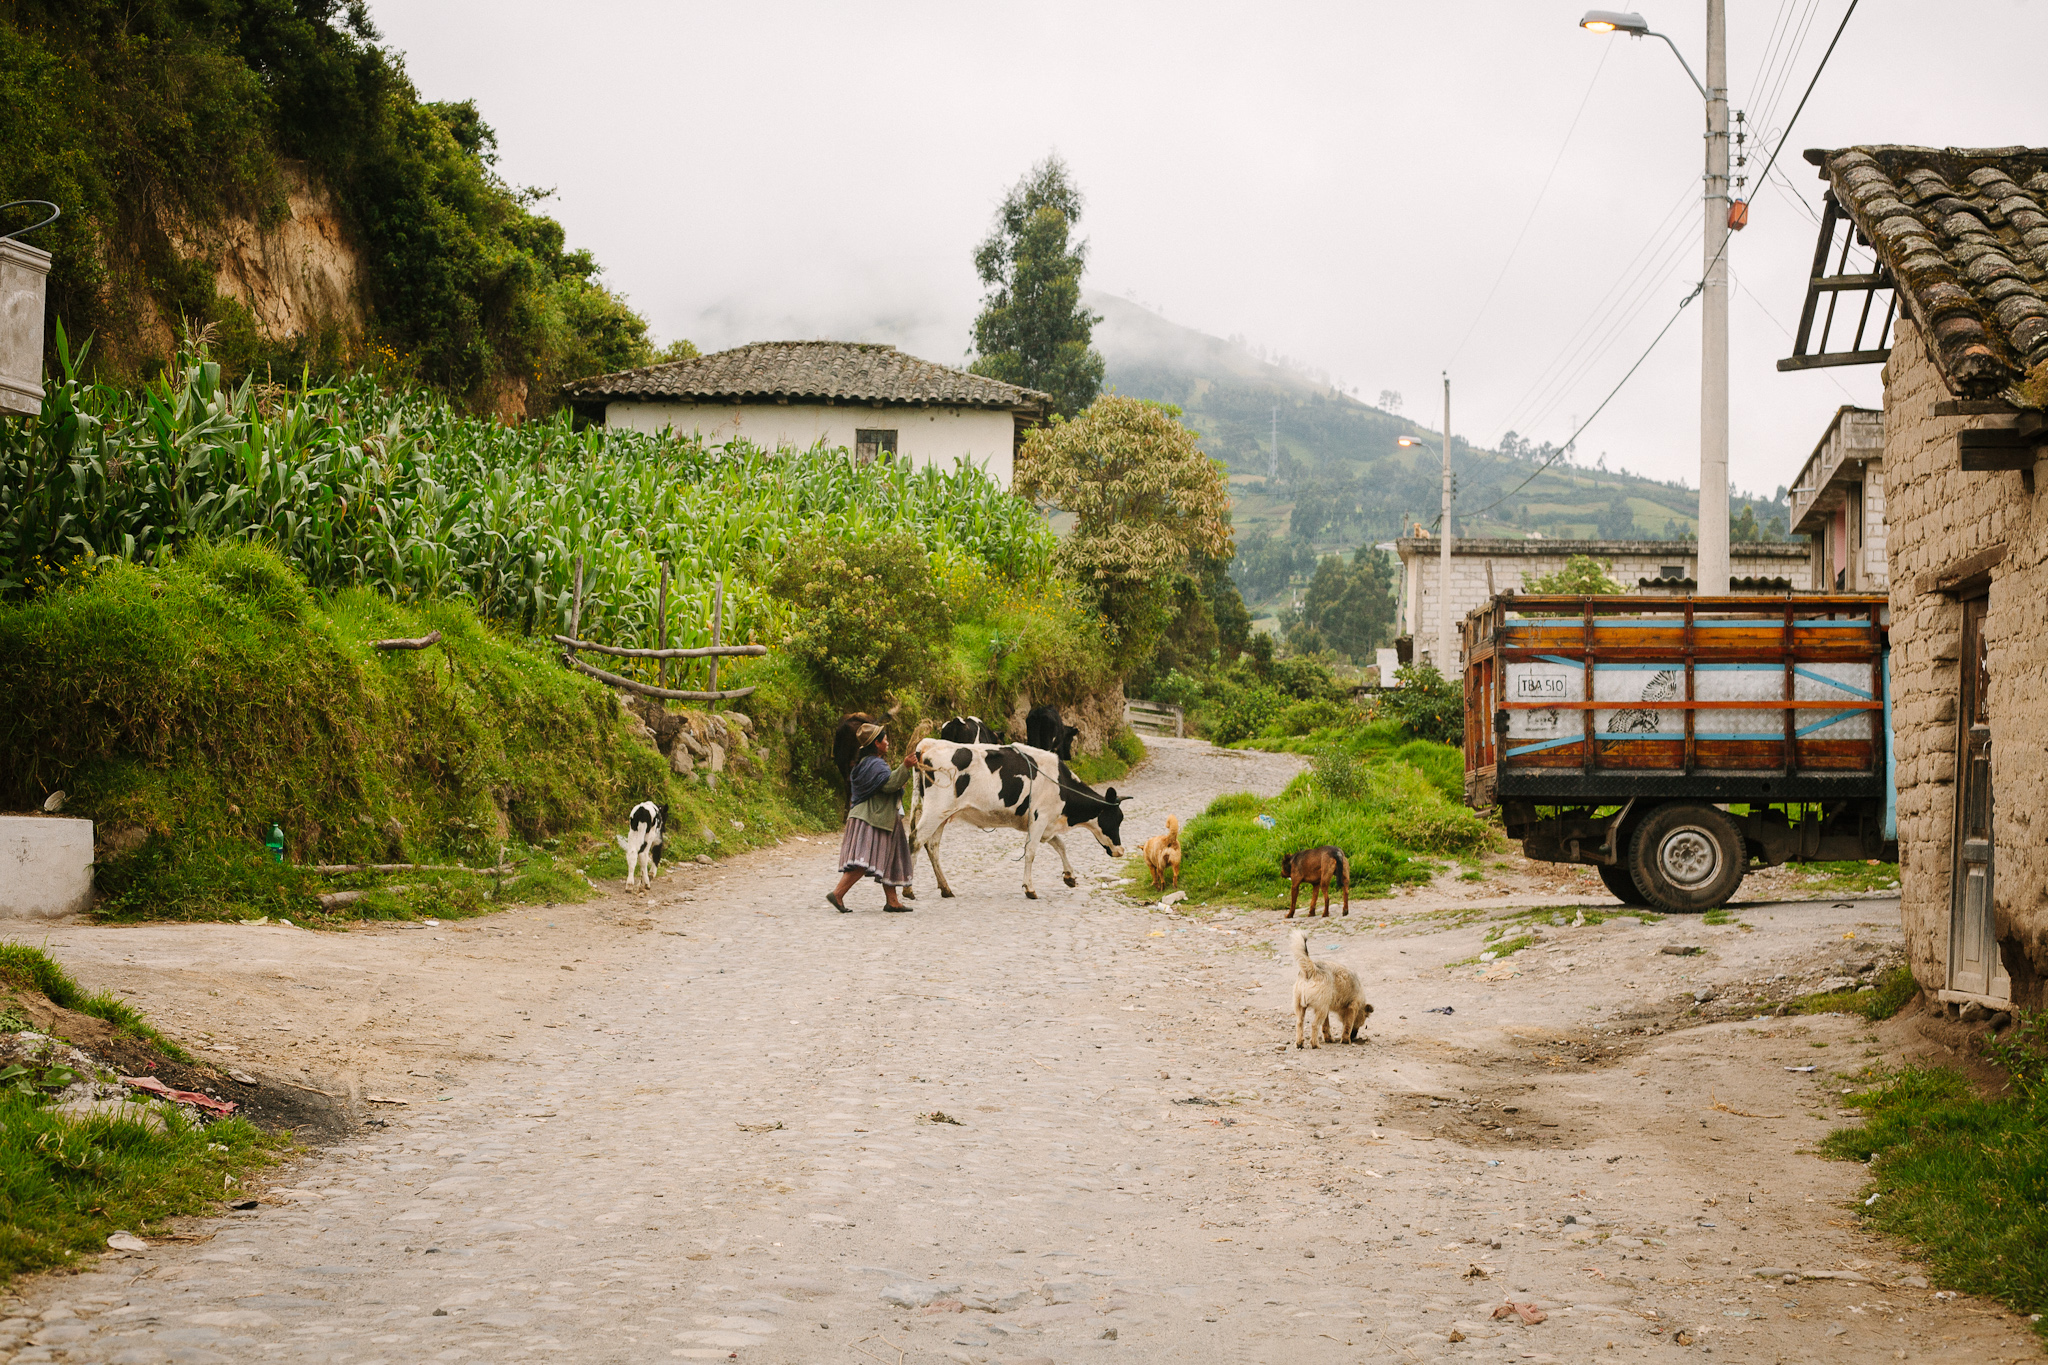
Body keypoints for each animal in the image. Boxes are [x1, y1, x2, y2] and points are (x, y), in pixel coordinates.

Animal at [913, 740, 1130, 900]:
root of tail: (928, 744)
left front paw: (1069, 876)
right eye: (1116, 819)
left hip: (942, 815)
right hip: (935, 810)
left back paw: (945, 888)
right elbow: (1031, 852)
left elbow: (1060, 845)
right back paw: (909, 890)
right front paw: (1030, 888)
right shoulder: (1040, 818)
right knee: (916, 840)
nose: (1120, 850)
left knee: (932, 846)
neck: (1060, 785)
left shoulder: (1046, 823)